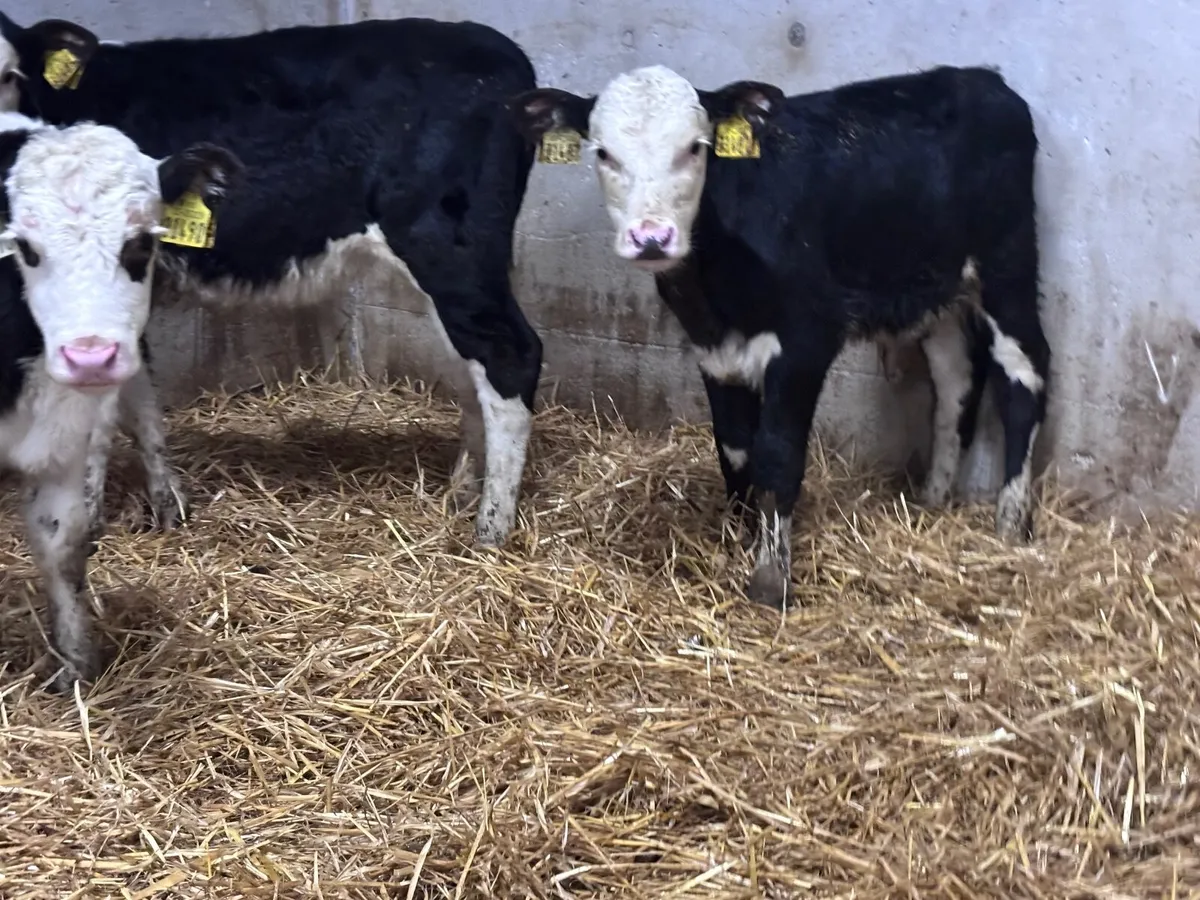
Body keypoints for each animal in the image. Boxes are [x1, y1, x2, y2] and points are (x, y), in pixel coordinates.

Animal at [0, 13, 545, 548]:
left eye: (10, 74)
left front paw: (88, 517)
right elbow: (137, 397)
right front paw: (165, 504)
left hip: (450, 250)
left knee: (510, 355)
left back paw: (490, 529)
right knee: (472, 368)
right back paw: (462, 491)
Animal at [0, 109, 240, 689]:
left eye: (140, 244)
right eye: (26, 248)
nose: (91, 357)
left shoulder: (61, 443)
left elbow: (63, 546)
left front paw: (76, 668)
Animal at [511, 64, 1050, 608]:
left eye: (695, 147)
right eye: (603, 152)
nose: (651, 238)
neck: (717, 284)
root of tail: (980, 76)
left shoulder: (805, 342)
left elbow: (778, 453)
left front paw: (771, 578)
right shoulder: (714, 350)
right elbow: (734, 448)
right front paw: (740, 537)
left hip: (1008, 266)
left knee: (1024, 373)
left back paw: (1011, 522)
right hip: (937, 290)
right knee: (957, 381)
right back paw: (933, 502)